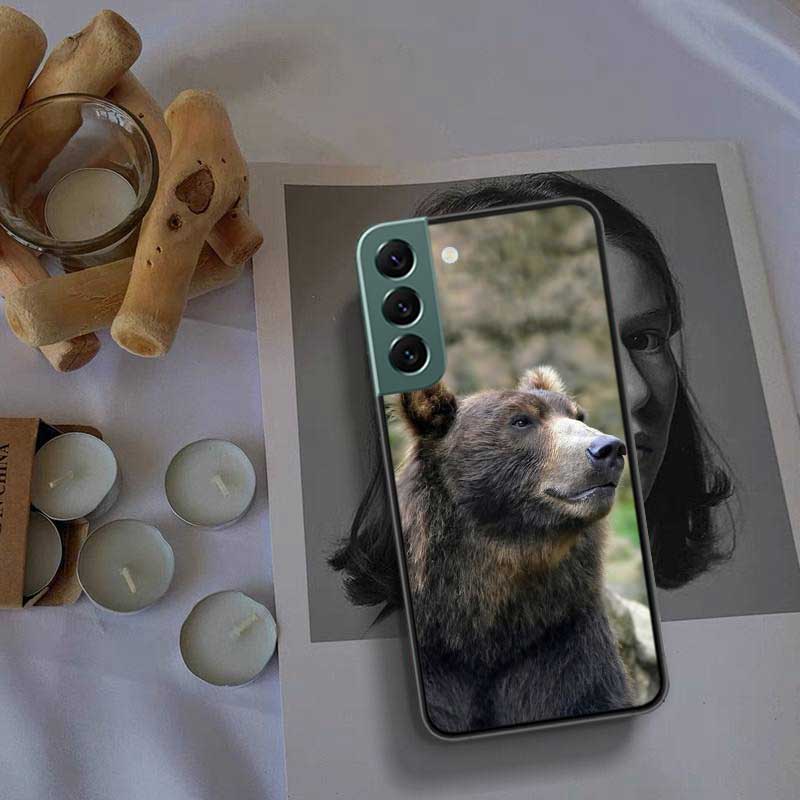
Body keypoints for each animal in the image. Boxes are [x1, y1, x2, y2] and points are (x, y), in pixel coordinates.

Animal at [392, 366, 632, 734]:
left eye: (578, 415)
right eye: (521, 421)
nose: (608, 449)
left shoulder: (558, 638)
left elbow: (583, 691)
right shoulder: (438, 658)